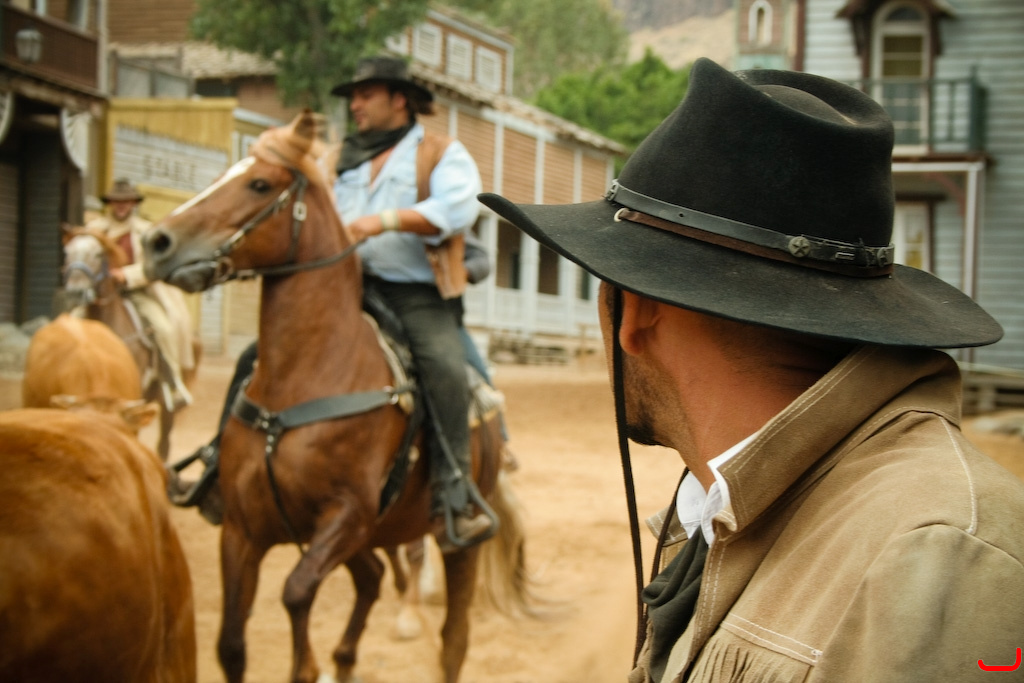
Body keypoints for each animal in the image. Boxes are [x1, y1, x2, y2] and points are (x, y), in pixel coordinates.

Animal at [140, 110, 533, 683]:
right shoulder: (241, 531)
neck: (308, 376)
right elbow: (231, 645)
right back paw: (345, 659)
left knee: (452, 639)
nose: (156, 242)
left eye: (260, 183)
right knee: (371, 579)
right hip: (370, 537)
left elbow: (296, 593)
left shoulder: (345, 516)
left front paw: (307, 663)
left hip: (456, 542)